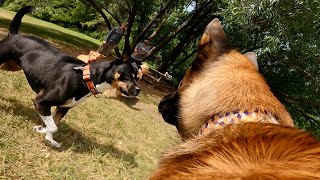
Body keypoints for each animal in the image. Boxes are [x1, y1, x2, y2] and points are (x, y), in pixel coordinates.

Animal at [0, 6, 140, 148]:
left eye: (138, 77)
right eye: (128, 75)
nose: (138, 90)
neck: (85, 77)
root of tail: (14, 34)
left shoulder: (63, 108)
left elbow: (54, 124)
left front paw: (49, 138)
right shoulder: (40, 101)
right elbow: (53, 126)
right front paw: (41, 129)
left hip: (12, 66)